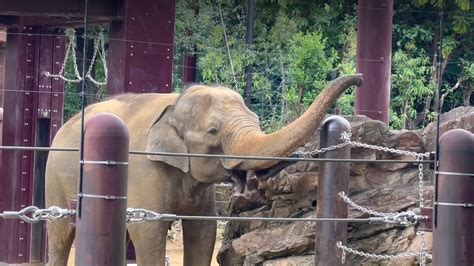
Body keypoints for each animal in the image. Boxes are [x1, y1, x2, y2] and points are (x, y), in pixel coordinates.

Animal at [45, 74, 362, 264]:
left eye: (256, 119)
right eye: (213, 131)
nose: (358, 78)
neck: (174, 103)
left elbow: (203, 230)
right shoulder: (143, 170)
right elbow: (149, 230)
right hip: (54, 178)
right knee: (60, 235)